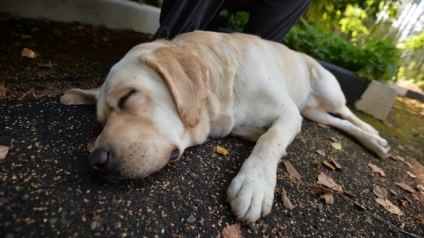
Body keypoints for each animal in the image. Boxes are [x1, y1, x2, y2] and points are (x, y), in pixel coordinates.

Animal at [61, 31, 390, 223]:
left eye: (129, 96)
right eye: (101, 122)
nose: (95, 161)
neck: (222, 89)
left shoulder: (288, 113)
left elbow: (270, 139)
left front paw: (255, 184)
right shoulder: (267, 120)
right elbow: (260, 134)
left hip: (328, 93)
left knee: (346, 111)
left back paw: (375, 135)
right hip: (313, 111)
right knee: (335, 121)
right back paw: (373, 141)